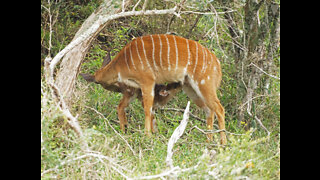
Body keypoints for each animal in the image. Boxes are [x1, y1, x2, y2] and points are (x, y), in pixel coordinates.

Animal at [82, 33, 228, 145]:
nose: (119, 89)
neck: (121, 63)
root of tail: (217, 64)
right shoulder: (136, 87)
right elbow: (142, 108)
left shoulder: (147, 81)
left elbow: (147, 108)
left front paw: (147, 136)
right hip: (190, 88)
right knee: (209, 110)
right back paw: (208, 141)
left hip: (204, 84)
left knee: (219, 109)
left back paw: (223, 143)